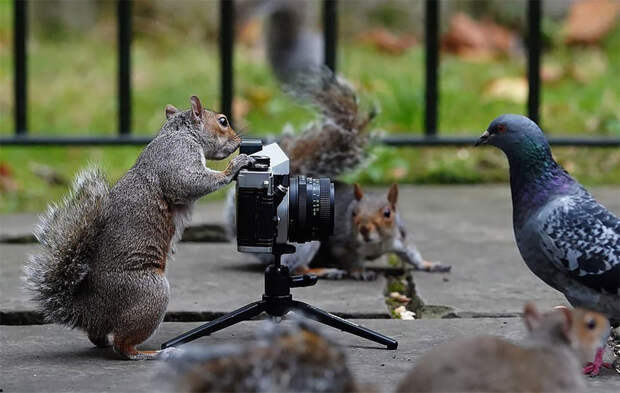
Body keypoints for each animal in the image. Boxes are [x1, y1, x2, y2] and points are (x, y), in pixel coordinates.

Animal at [23, 95, 253, 358]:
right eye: (223, 121)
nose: (239, 141)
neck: (179, 133)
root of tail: (86, 310)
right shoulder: (177, 157)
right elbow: (189, 182)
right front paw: (234, 166)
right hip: (150, 294)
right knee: (122, 346)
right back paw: (149, 354)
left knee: (97, 336)